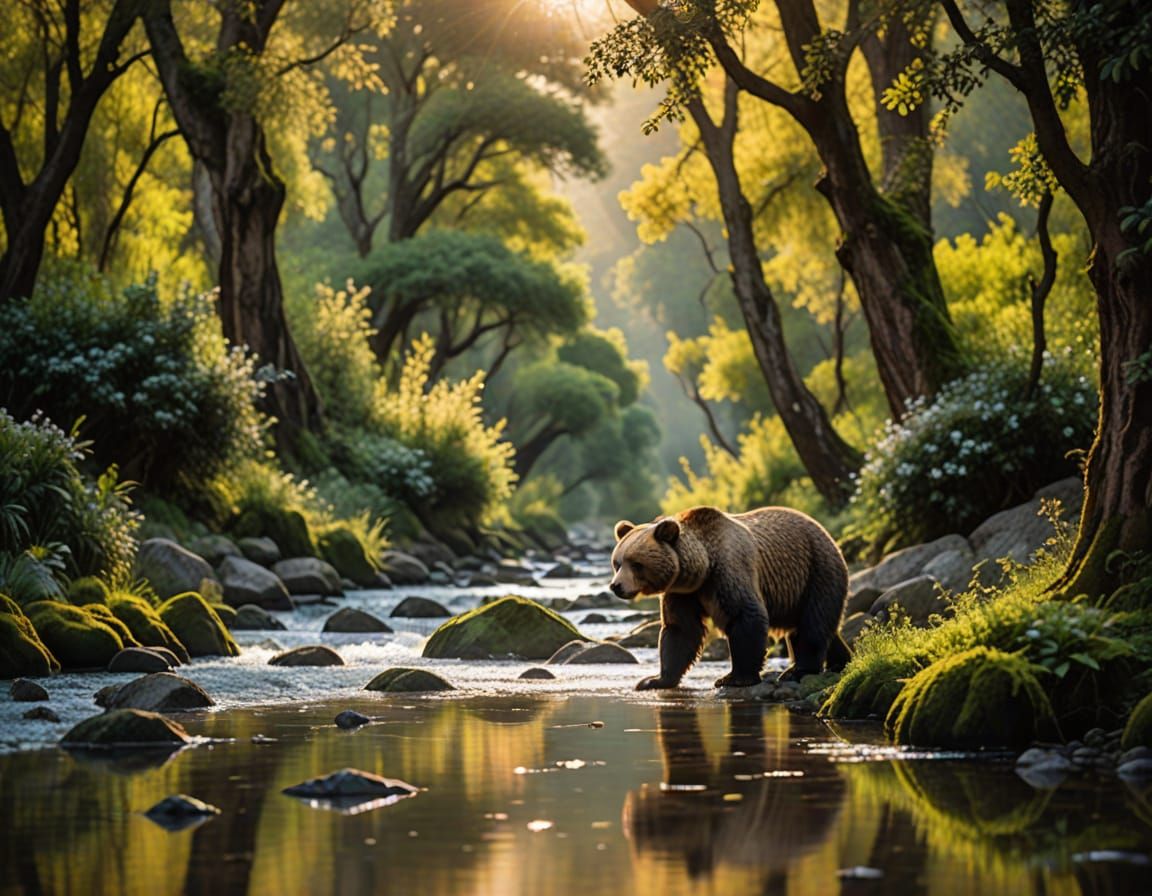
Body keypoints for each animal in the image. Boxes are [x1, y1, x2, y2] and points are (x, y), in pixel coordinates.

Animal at [609, 505, 850, 690]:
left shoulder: (728, 571)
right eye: (617, 563)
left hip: (816, 571)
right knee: (816, 627)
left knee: (814, 622)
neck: (702, 567)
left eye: (636, 564)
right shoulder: (682, 593)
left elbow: (745, 615)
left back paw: (798, 670)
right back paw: (841, 661)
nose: (616, 586)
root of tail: (828, 535)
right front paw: (654, 680)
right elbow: (681, 630)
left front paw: (734, 678)